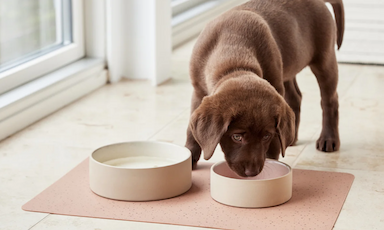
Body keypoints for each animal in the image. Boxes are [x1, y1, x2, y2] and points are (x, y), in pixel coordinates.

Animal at [184, 0, 344, 177]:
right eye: (237, 137)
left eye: (267, 136)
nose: (252, 172)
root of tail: (319, 2)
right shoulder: (198, 91)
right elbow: (191, 132)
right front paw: (189, 157)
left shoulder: (275, 85)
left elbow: (276, 139)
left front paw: (272, 160)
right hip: (287, 67)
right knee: (295, 97)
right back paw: (292, 137)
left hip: (323, 60)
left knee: (329, 101)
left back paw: (328, 139)